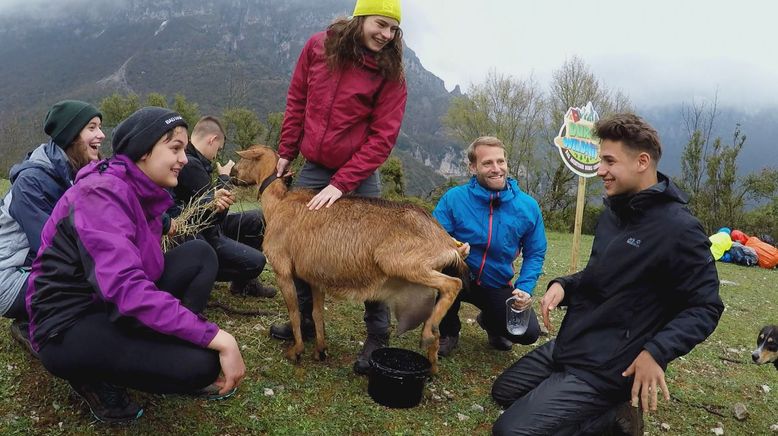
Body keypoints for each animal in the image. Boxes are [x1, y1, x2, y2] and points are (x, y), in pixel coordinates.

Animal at [233, 147, 464, 374]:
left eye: (243, 159)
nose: (233, 175)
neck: (279, 203)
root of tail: (448, 242)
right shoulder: (315, 278)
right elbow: (317, 313)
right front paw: (320, 350)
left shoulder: (282, 270)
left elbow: (294, 312)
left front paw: (296, 351)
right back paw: (432, 357)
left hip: (400, 263)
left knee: (454, 283)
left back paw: (427, 333)